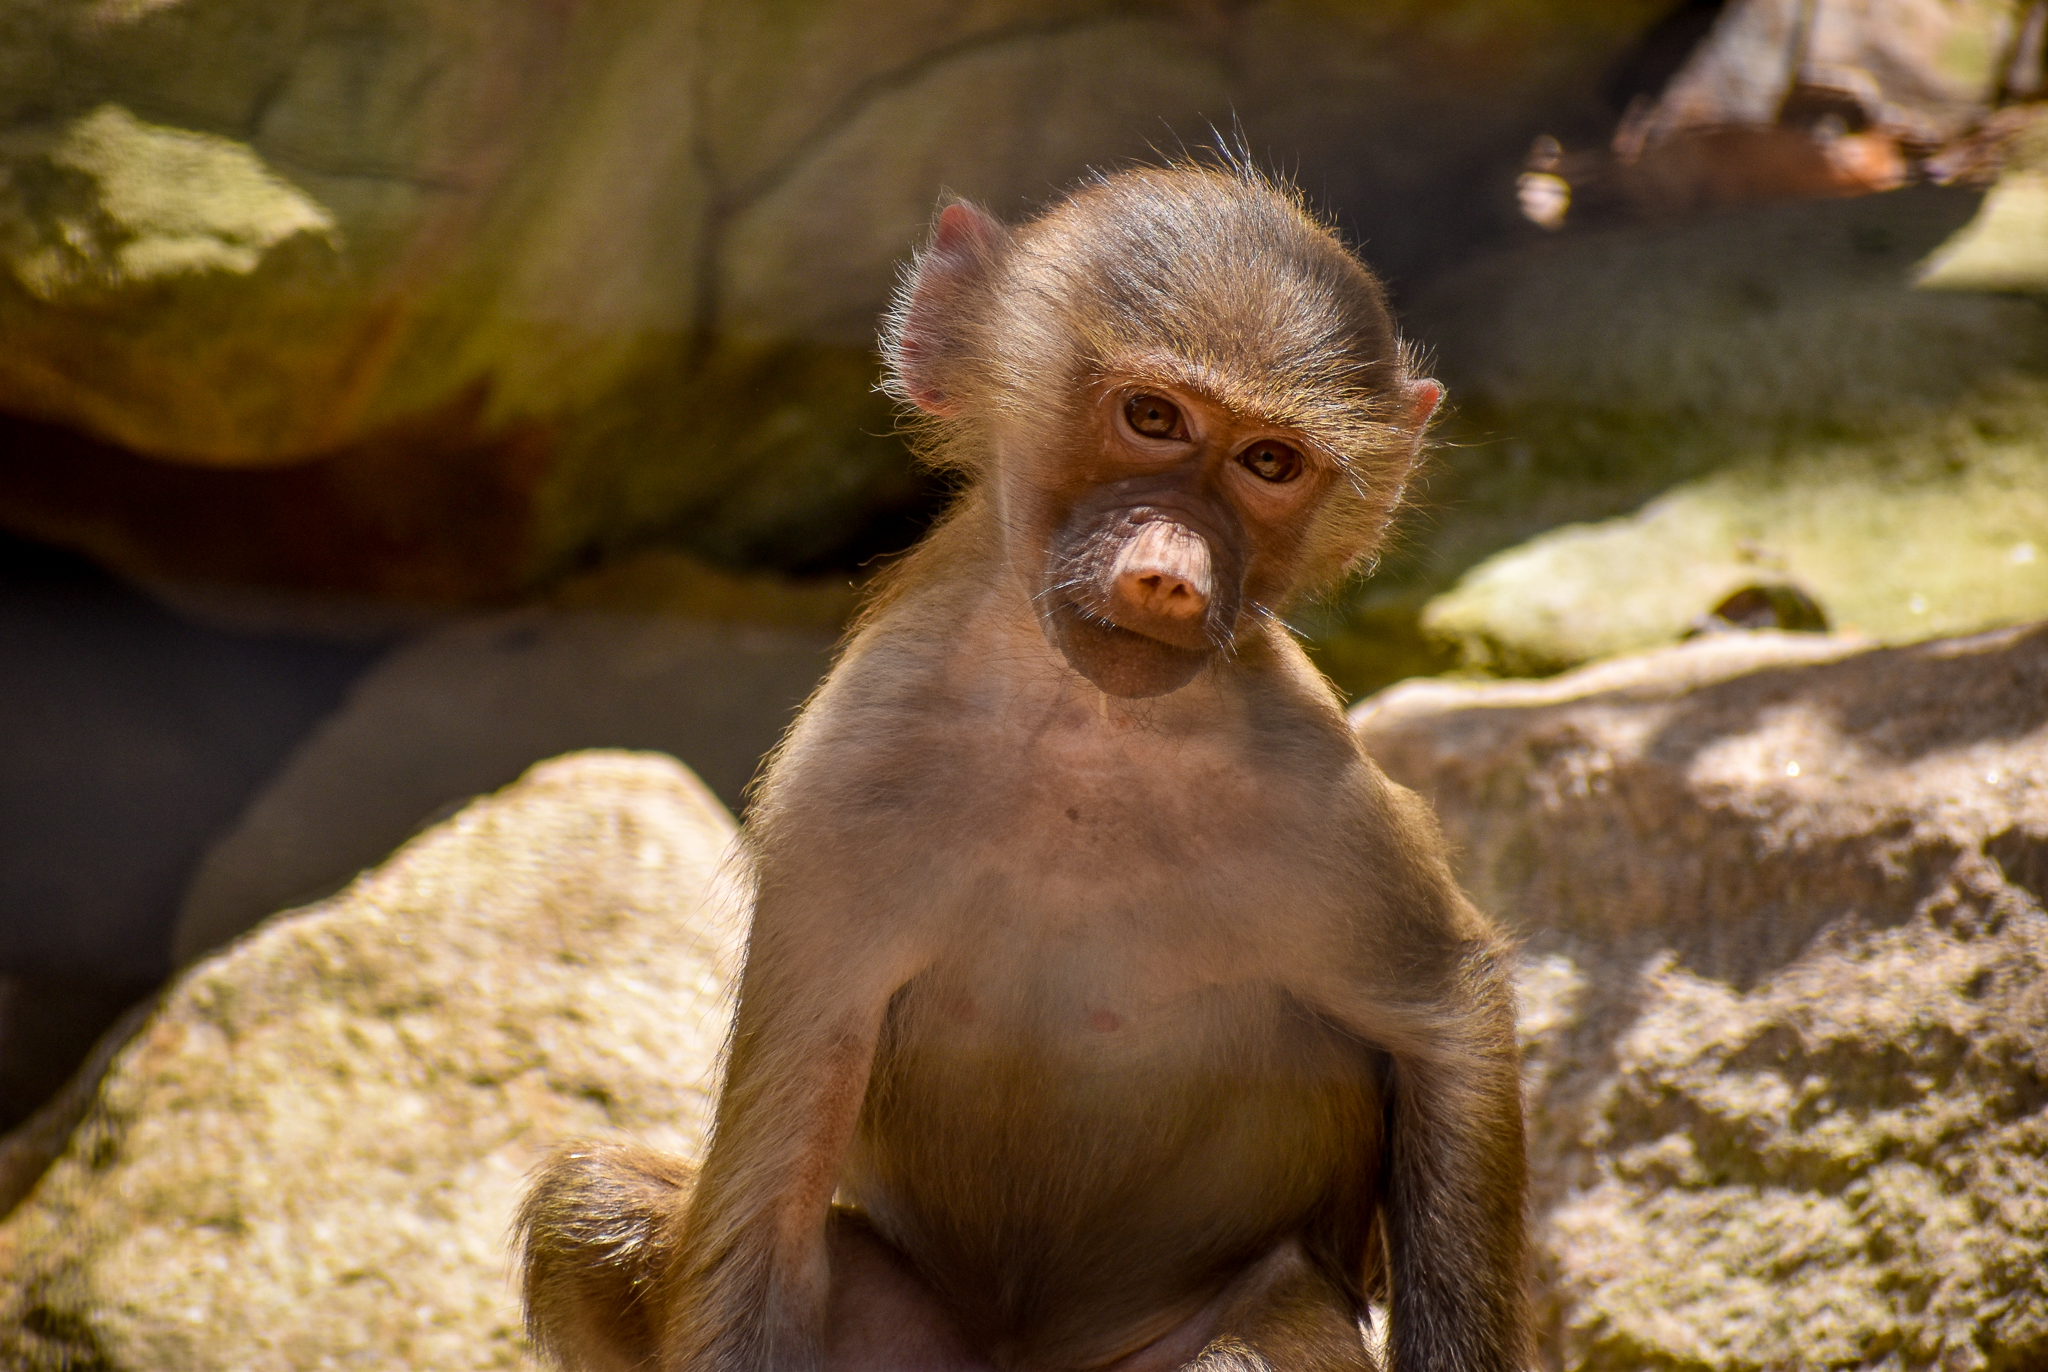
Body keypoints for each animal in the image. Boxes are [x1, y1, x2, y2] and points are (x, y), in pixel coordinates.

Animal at [517, 163, 1527, 1372]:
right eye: (1152, 417)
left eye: (1269, 464)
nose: (1170, 577)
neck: (1080, 727)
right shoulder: (839, 783)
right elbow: (764, 1207)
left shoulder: (1310, 785)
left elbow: (1448, 1022)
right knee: (596, 1209)